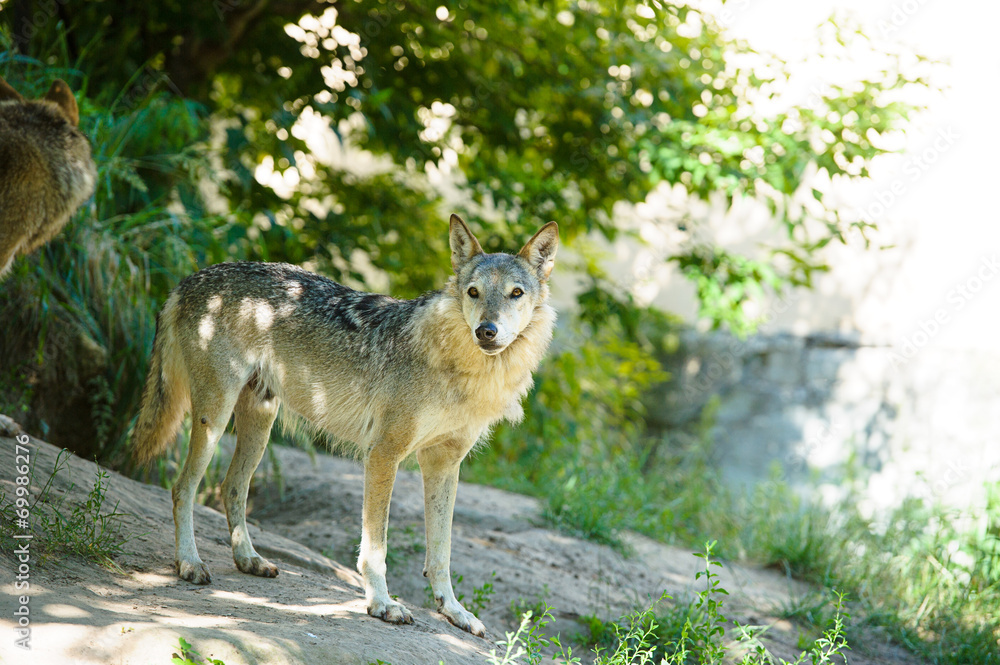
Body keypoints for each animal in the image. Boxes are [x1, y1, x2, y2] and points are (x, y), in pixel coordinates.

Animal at [132, 215, 558, 636]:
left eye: (515, 293)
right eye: (473, 292)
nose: (487, 330)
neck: (460, 369)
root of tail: (191, 278)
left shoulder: (444, 464)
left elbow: (441, 552)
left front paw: (453, 610)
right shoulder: (384, 454)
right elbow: (376, 548)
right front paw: (382, 604)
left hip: (260, 426)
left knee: (230, 487)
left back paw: (249, 559)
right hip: (214, 418)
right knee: (182, 488)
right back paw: (189, 563)